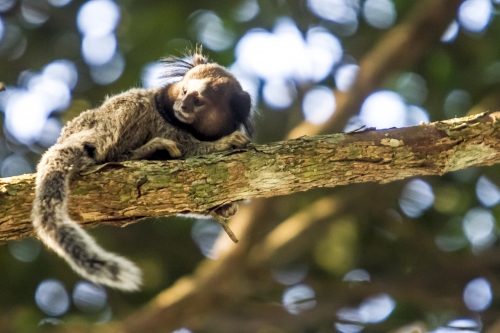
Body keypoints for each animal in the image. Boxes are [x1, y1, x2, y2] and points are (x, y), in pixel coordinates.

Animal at [32, 52, 254, 290]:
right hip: (97, 127)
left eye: (198, 101)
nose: (183, 105)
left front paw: (225, 207)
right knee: (129, 109)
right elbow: (190, 150)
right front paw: (225, 143)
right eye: (185, 91)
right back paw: (136, 153)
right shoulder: (167, 124)